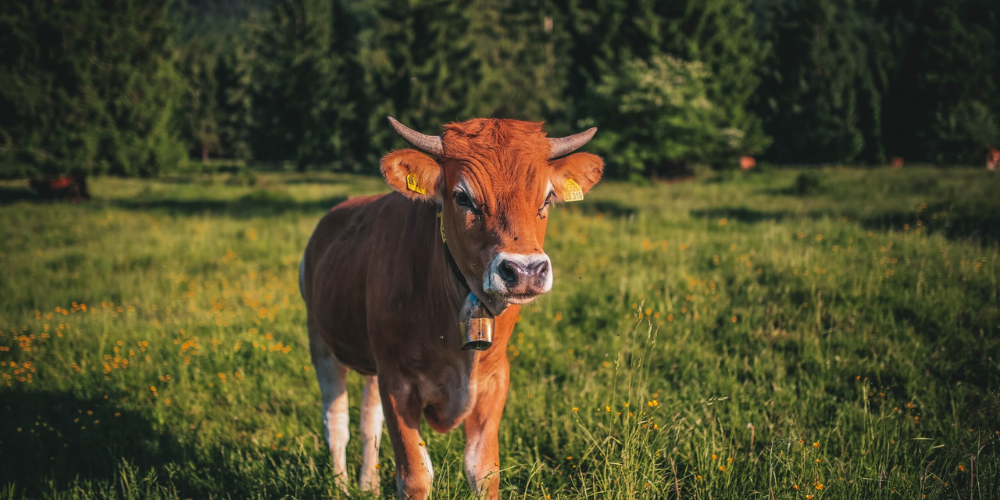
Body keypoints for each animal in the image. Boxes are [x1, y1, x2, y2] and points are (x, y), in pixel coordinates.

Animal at [298, 118, 600, 500]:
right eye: (463, 197)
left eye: (547, 197)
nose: (525, 271)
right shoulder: (397, 381)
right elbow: (415, 474)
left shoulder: (494, 379)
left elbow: (484, 471)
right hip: (320, 340)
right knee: (336, 421)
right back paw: (340, 486)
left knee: (369, 421)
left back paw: (368, 484)